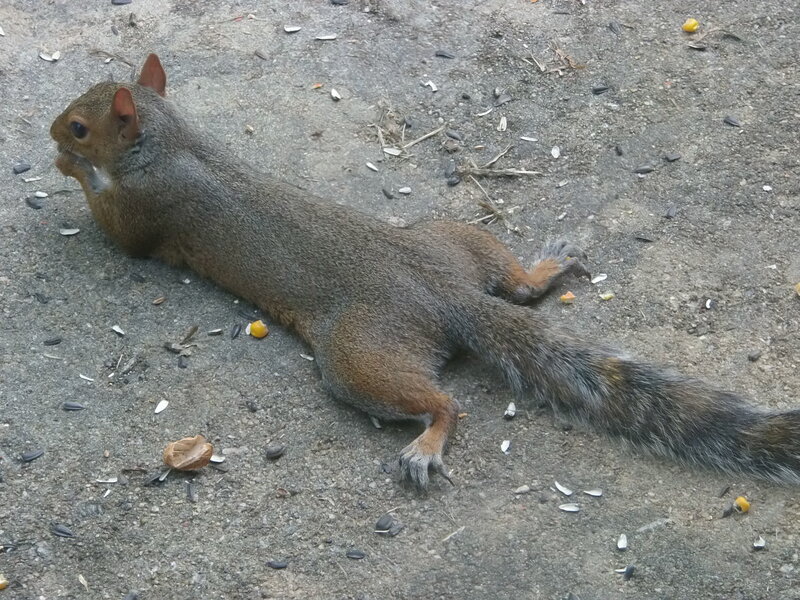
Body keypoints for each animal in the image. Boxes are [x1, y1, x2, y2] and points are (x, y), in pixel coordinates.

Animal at [51, 54, 800, 488]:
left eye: (82, 127)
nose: (54, 134)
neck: (171, 140)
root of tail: (448, 294)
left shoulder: (147, 214)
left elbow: (120, 236)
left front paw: (70, 170)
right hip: (456, 239)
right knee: (516, 285)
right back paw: (546, 267)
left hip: (361, 352)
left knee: (444, 402)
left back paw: (426, 444)